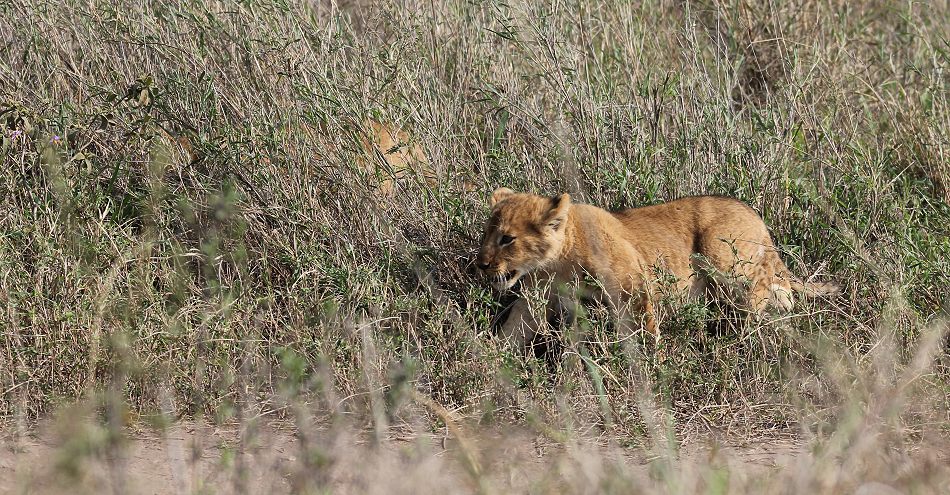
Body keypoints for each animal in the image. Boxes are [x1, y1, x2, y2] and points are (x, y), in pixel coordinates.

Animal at [476, 188, 840, 346]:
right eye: (486, 234)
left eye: (507, 239)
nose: (481, 265)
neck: (557, 262)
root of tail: (755, 215)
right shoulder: (536, 297)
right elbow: (514, 330)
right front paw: (493, 360)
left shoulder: (634, 285)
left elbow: (646, 331)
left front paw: (655, 369)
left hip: (723, 255)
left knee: (761, 282)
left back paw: (745, 328)